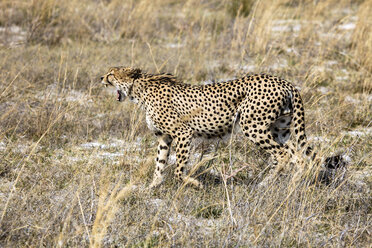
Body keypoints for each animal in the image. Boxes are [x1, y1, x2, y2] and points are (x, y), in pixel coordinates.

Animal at [100, 67, 338, 189]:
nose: (101, 77)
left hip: (253, 126)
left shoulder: (183, 133)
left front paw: (193, 183)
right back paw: (293, 185)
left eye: (112, 73)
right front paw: (152, 187)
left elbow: (177, 169)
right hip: (279, 130)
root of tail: (285, 82)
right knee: (297, 157)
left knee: (282, 155)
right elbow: (159, 164)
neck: (140, 90)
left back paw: (265, 183)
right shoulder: (164, 138)